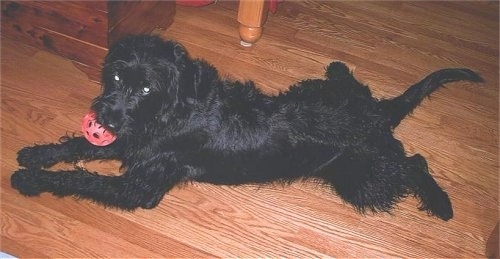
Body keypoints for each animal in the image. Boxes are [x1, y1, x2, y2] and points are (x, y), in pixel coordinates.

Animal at [10, 34, 480, 221]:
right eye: (116, 76)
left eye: (145, 87)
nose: (104, 118)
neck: (175, 109)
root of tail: (376, 114)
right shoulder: (133, 142)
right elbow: (78, 147)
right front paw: (37, 154)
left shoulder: (137, 187)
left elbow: (82, 178)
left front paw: (29, 179)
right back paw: (338, 67)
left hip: (361, 181)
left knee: (414, 161)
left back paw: (440, 202)